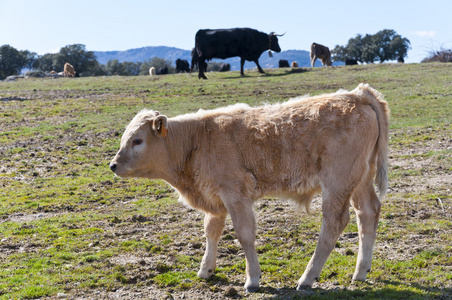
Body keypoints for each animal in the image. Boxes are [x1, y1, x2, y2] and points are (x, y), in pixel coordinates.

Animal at [108, 83, 388, 292]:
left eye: (137, 140)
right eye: (124, 138)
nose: (113, 165)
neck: (197, 138)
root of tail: (357, 95)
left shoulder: (235, 193)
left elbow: (244, 234)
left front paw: (252, 279)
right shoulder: (215, 196)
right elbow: (211, 231)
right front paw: (206, 269)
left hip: (338, 181)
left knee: (334, 223)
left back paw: (307, 278)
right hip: (360, 179)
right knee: (368, 212)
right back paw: (360, 272)